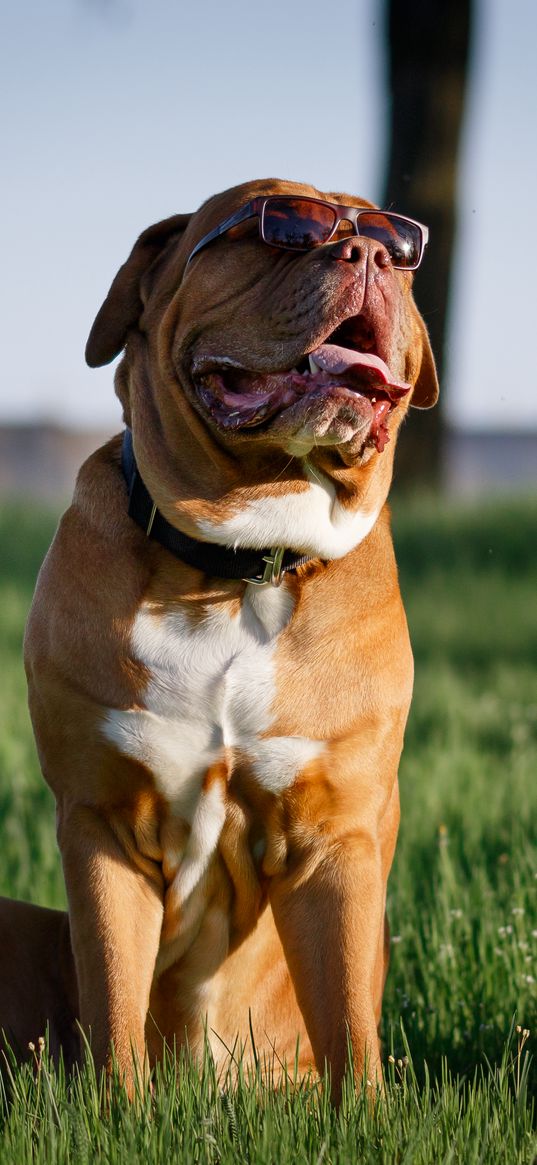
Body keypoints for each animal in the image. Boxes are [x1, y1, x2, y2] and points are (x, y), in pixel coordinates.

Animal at [19, 174, 435, 1099]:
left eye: (399, 245)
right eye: (273, 226)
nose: (369, 251)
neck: (239, 565)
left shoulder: (334, 836)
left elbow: (346, 1013)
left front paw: (361, 1117)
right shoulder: (102, 823)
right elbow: (114, 996)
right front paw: (120, 1114)